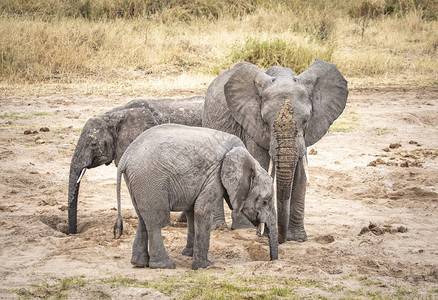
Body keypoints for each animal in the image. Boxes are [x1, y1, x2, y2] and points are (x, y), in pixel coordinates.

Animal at [113, 123, 278, 270]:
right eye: (265, 202)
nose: (272, 261)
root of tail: (125, 157)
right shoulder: (215, 175)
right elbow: (201, 209)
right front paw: (204, 266)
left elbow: (192, 211)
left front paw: (188, 255)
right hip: (149, 181)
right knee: (155, 222)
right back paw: (165, 265)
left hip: (138, 183)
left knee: (143, 218)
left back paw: (139, 264)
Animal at [203, 59, 350, 244]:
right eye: (266, 121)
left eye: (306, 120)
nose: (281, 239)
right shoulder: (253, 125)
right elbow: (261, 167)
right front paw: (263, 236)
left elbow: (300, 175)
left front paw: (298, 239)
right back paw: (228, 227)